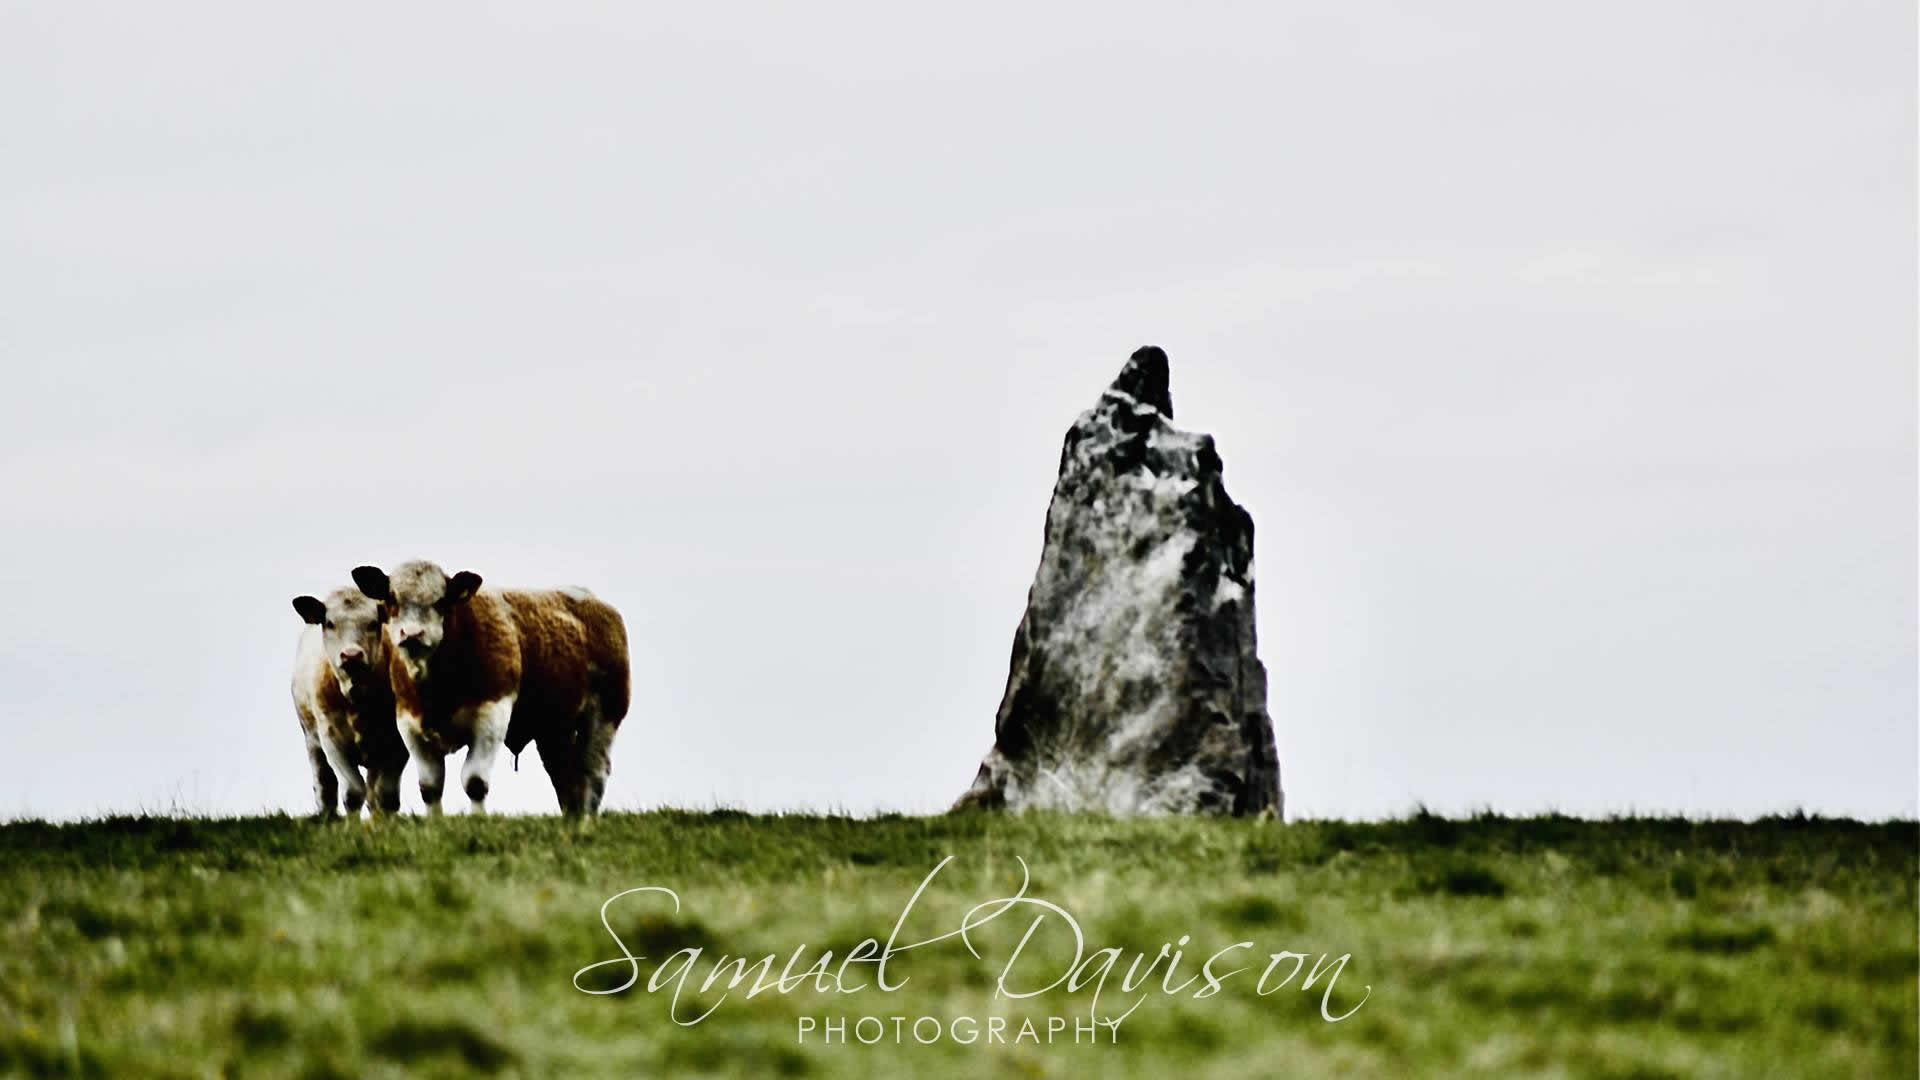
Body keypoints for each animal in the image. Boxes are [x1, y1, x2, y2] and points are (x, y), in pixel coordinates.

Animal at [288, 584, 408, 810]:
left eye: (373, 623)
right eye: (329, 623)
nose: (351, 655)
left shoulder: (396, 743)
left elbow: (385, 797)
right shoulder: (331, 739)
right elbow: (353, 792)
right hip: (312, 742)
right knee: (324, 788)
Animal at [349, 557, 633, 810]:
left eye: (441, 601)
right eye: (391, 599)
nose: (412, 634)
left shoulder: (492, 714)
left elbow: (475, 782)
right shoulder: (409, 723)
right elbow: (430, 788)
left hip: (605, 714)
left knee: (593, 773)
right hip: (553, 727)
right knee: (564, 777)